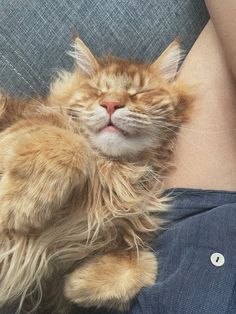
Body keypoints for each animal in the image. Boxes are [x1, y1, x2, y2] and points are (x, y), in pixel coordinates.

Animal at [0, 35, 192, 312]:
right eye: (98, 91)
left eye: (140, 93)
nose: (111, 104)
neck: (113, 169)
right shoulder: (14, 129)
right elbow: (71, 142)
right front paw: (22, 207)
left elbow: (145, 262)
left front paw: (76, 283)